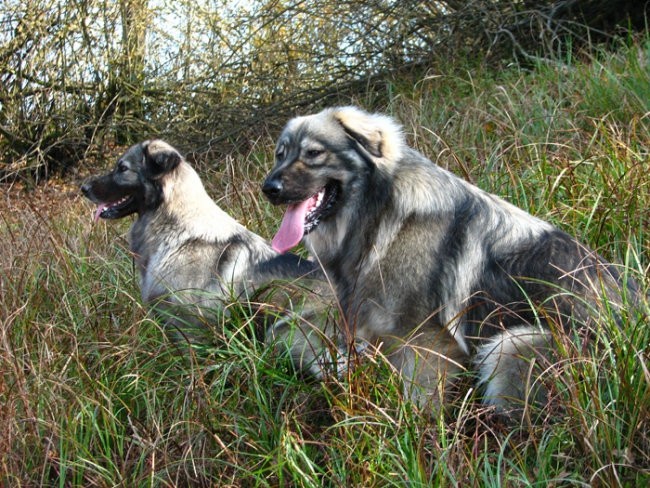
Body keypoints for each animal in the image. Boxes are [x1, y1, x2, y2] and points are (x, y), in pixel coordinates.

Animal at [260, 106, 640, 412]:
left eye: (313, 153)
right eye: (280, 154)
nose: (269, 189)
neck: (379, 216)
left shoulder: (424, 344)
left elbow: (419, 407)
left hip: (510, 346)